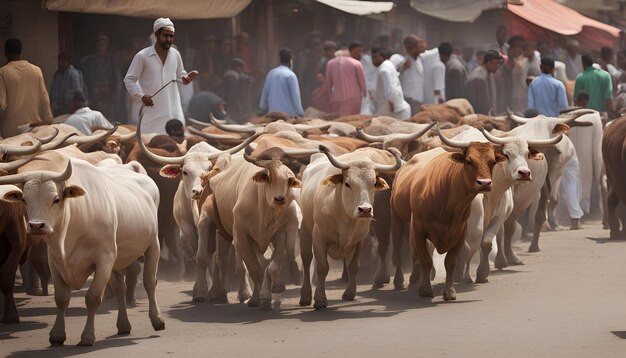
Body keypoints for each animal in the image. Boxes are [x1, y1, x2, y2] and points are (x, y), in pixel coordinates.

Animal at [0, 152, 163, 346]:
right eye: (25, 199)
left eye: (56, 199)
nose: (36, 226)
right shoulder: (55, 262)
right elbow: (61, 298)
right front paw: (57, 334)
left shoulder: (103, 261)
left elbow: (93, 298)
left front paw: (87, 336)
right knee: (120, 288)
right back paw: (123, 325)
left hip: (153, 244)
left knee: (149, 282)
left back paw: (157, 319)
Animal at [392, 126, 504, 300]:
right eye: (468, 161)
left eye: (492, 162)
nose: (485, 183)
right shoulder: (419, 228)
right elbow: (425, 260)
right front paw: (425, 289)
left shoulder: (460, 231)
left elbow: (450, 262)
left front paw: (449, 291)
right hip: (397, 217)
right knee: (400, 250)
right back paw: (402, 281)